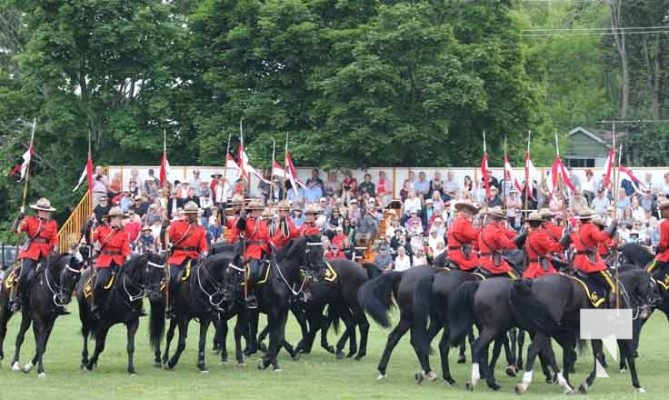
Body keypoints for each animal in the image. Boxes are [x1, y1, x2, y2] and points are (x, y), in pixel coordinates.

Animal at [508, 268, 656, 394]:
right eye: (651, 286)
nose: (647, 310)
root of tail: (532, 283)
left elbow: (575, 357)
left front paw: (571, 383)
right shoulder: (620, 331)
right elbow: (621, 356)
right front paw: (637, 385)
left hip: (543, 329)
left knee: (541, 351)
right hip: (545, 328)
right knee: (533, 349)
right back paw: (525, 384)